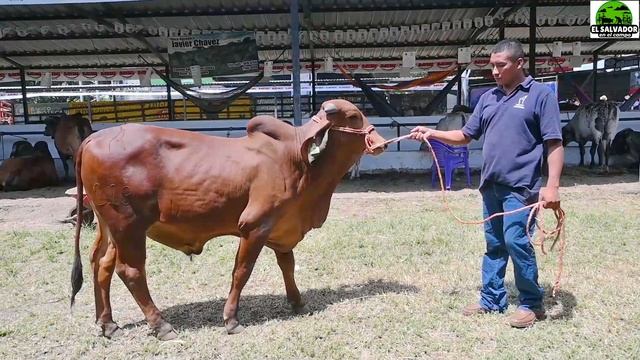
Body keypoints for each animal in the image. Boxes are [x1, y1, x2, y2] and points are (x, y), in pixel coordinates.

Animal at [72, 99, 388, 340]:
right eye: (354, 116)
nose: (382, 142)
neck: (300, 165)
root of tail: (93, 138)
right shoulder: (255, 226)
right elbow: (242, 272)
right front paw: (231, 319)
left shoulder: (282, 228)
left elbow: (287, 266)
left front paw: (297, 302)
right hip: (129, 226)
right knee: (131, 272)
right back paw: (161, 326)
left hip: (111, 227)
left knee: (101, 264)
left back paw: (107, 323)